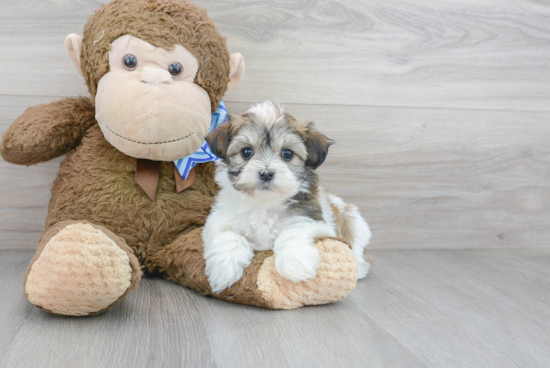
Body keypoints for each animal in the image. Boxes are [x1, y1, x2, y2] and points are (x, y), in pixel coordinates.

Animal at [202, 102, 370, 292]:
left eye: (287, 154)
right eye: (246, 152)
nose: (266, 173)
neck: (265, 203)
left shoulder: (312, 221)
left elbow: (292, 231)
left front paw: (295, 265)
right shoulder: (218, 221)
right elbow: (228, 236)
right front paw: (224, 269)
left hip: (354, 224)